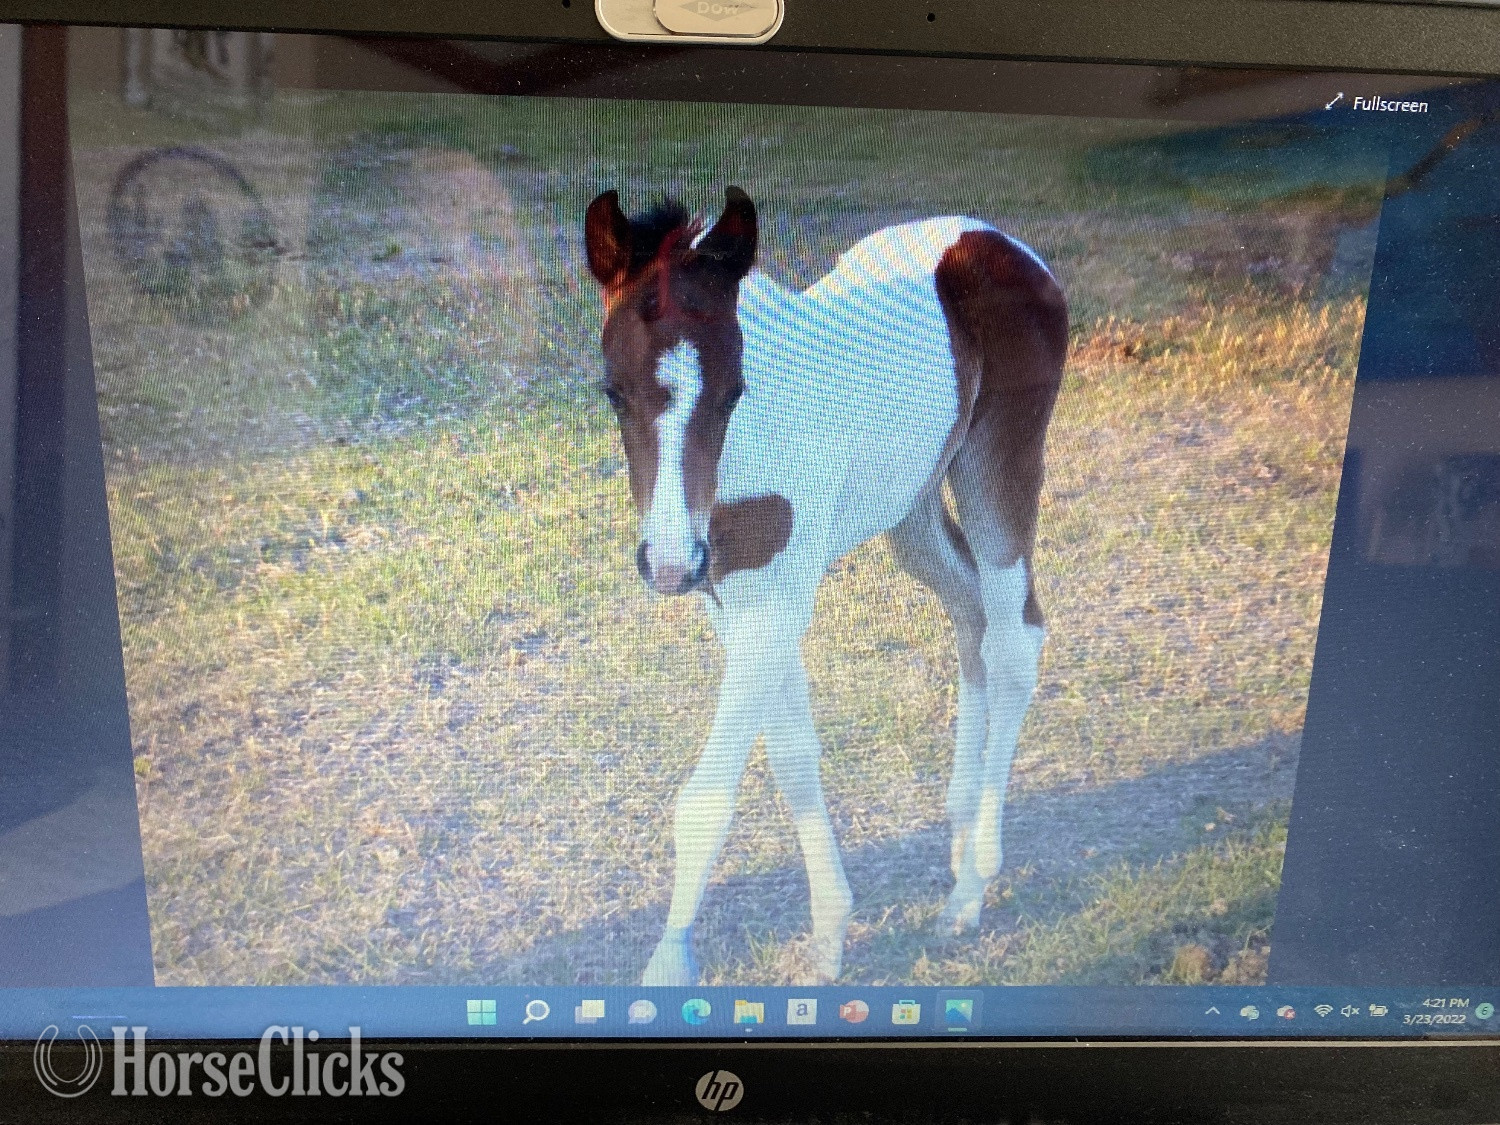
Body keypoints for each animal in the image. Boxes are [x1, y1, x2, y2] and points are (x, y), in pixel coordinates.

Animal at [583, 186, 1067, 986]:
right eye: (612, 392)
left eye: (734, 393)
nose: (671, 566)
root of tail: (1001, 242)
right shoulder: (735, 603)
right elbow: (791, 755)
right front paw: (831, 932)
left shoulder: (777, 602)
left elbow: (708, 796)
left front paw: (668, 963)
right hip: (911, 506)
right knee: (970, 617)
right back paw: (959, 834)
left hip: (998, 461)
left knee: (1012, 639)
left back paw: (971, 887)